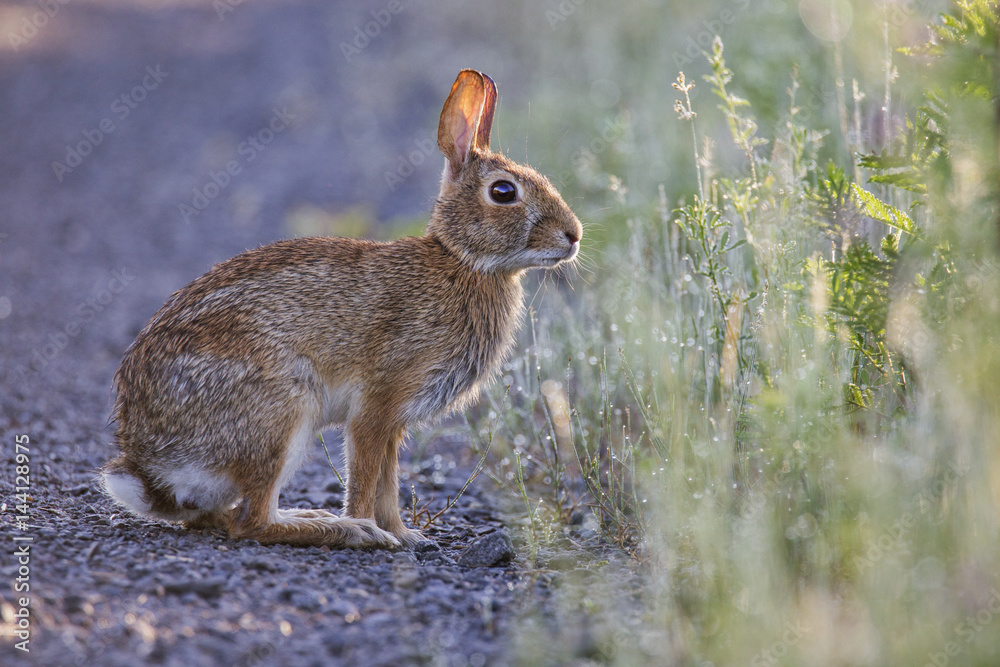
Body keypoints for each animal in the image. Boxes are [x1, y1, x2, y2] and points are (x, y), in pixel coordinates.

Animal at [100, 69, 582, 549]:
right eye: (503, 191)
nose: (573, 235)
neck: (461, 261)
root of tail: (151, 465)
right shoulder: (377, 404)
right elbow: (368, 478)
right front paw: (377, 532)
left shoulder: (394, 422)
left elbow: (388, 481)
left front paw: (406, 535)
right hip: (283, 409)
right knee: (251, 521)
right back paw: (339, 528)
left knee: (216, 518)